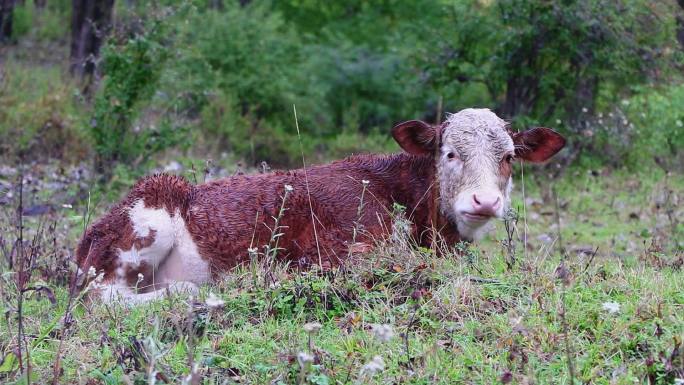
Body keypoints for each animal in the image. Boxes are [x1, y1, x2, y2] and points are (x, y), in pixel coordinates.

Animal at [75, 108, 568, 304]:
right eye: (449, 153)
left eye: (509, 157)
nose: (485, 200)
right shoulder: (344, 249)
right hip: (149, 214)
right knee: (103, 298)